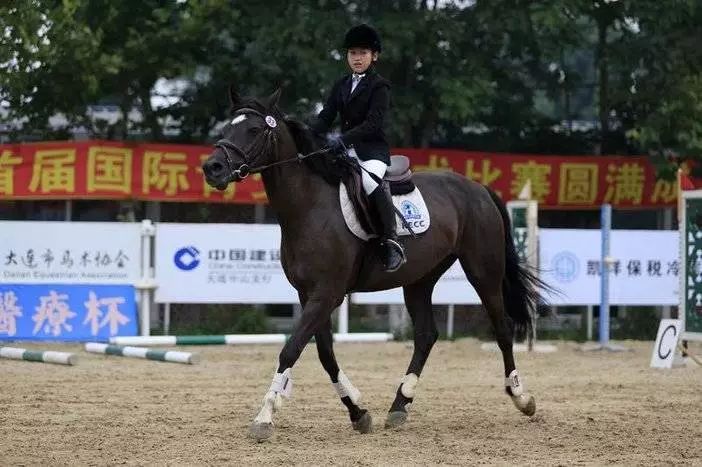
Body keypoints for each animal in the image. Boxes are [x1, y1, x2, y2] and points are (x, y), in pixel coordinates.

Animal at [202, 87, 544, 442]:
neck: (309, 206)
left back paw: (522, 397)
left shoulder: (327, 294)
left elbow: (291, 349)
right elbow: (325, 354)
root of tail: (477, 188)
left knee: (502, 327)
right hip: (420, 278)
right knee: (426, 335)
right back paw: (399, 405)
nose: (212, 168)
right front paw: (357, 411)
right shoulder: (309, 294)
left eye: (254, 130)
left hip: (483, 271)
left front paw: (265, 416)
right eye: (226, 127)